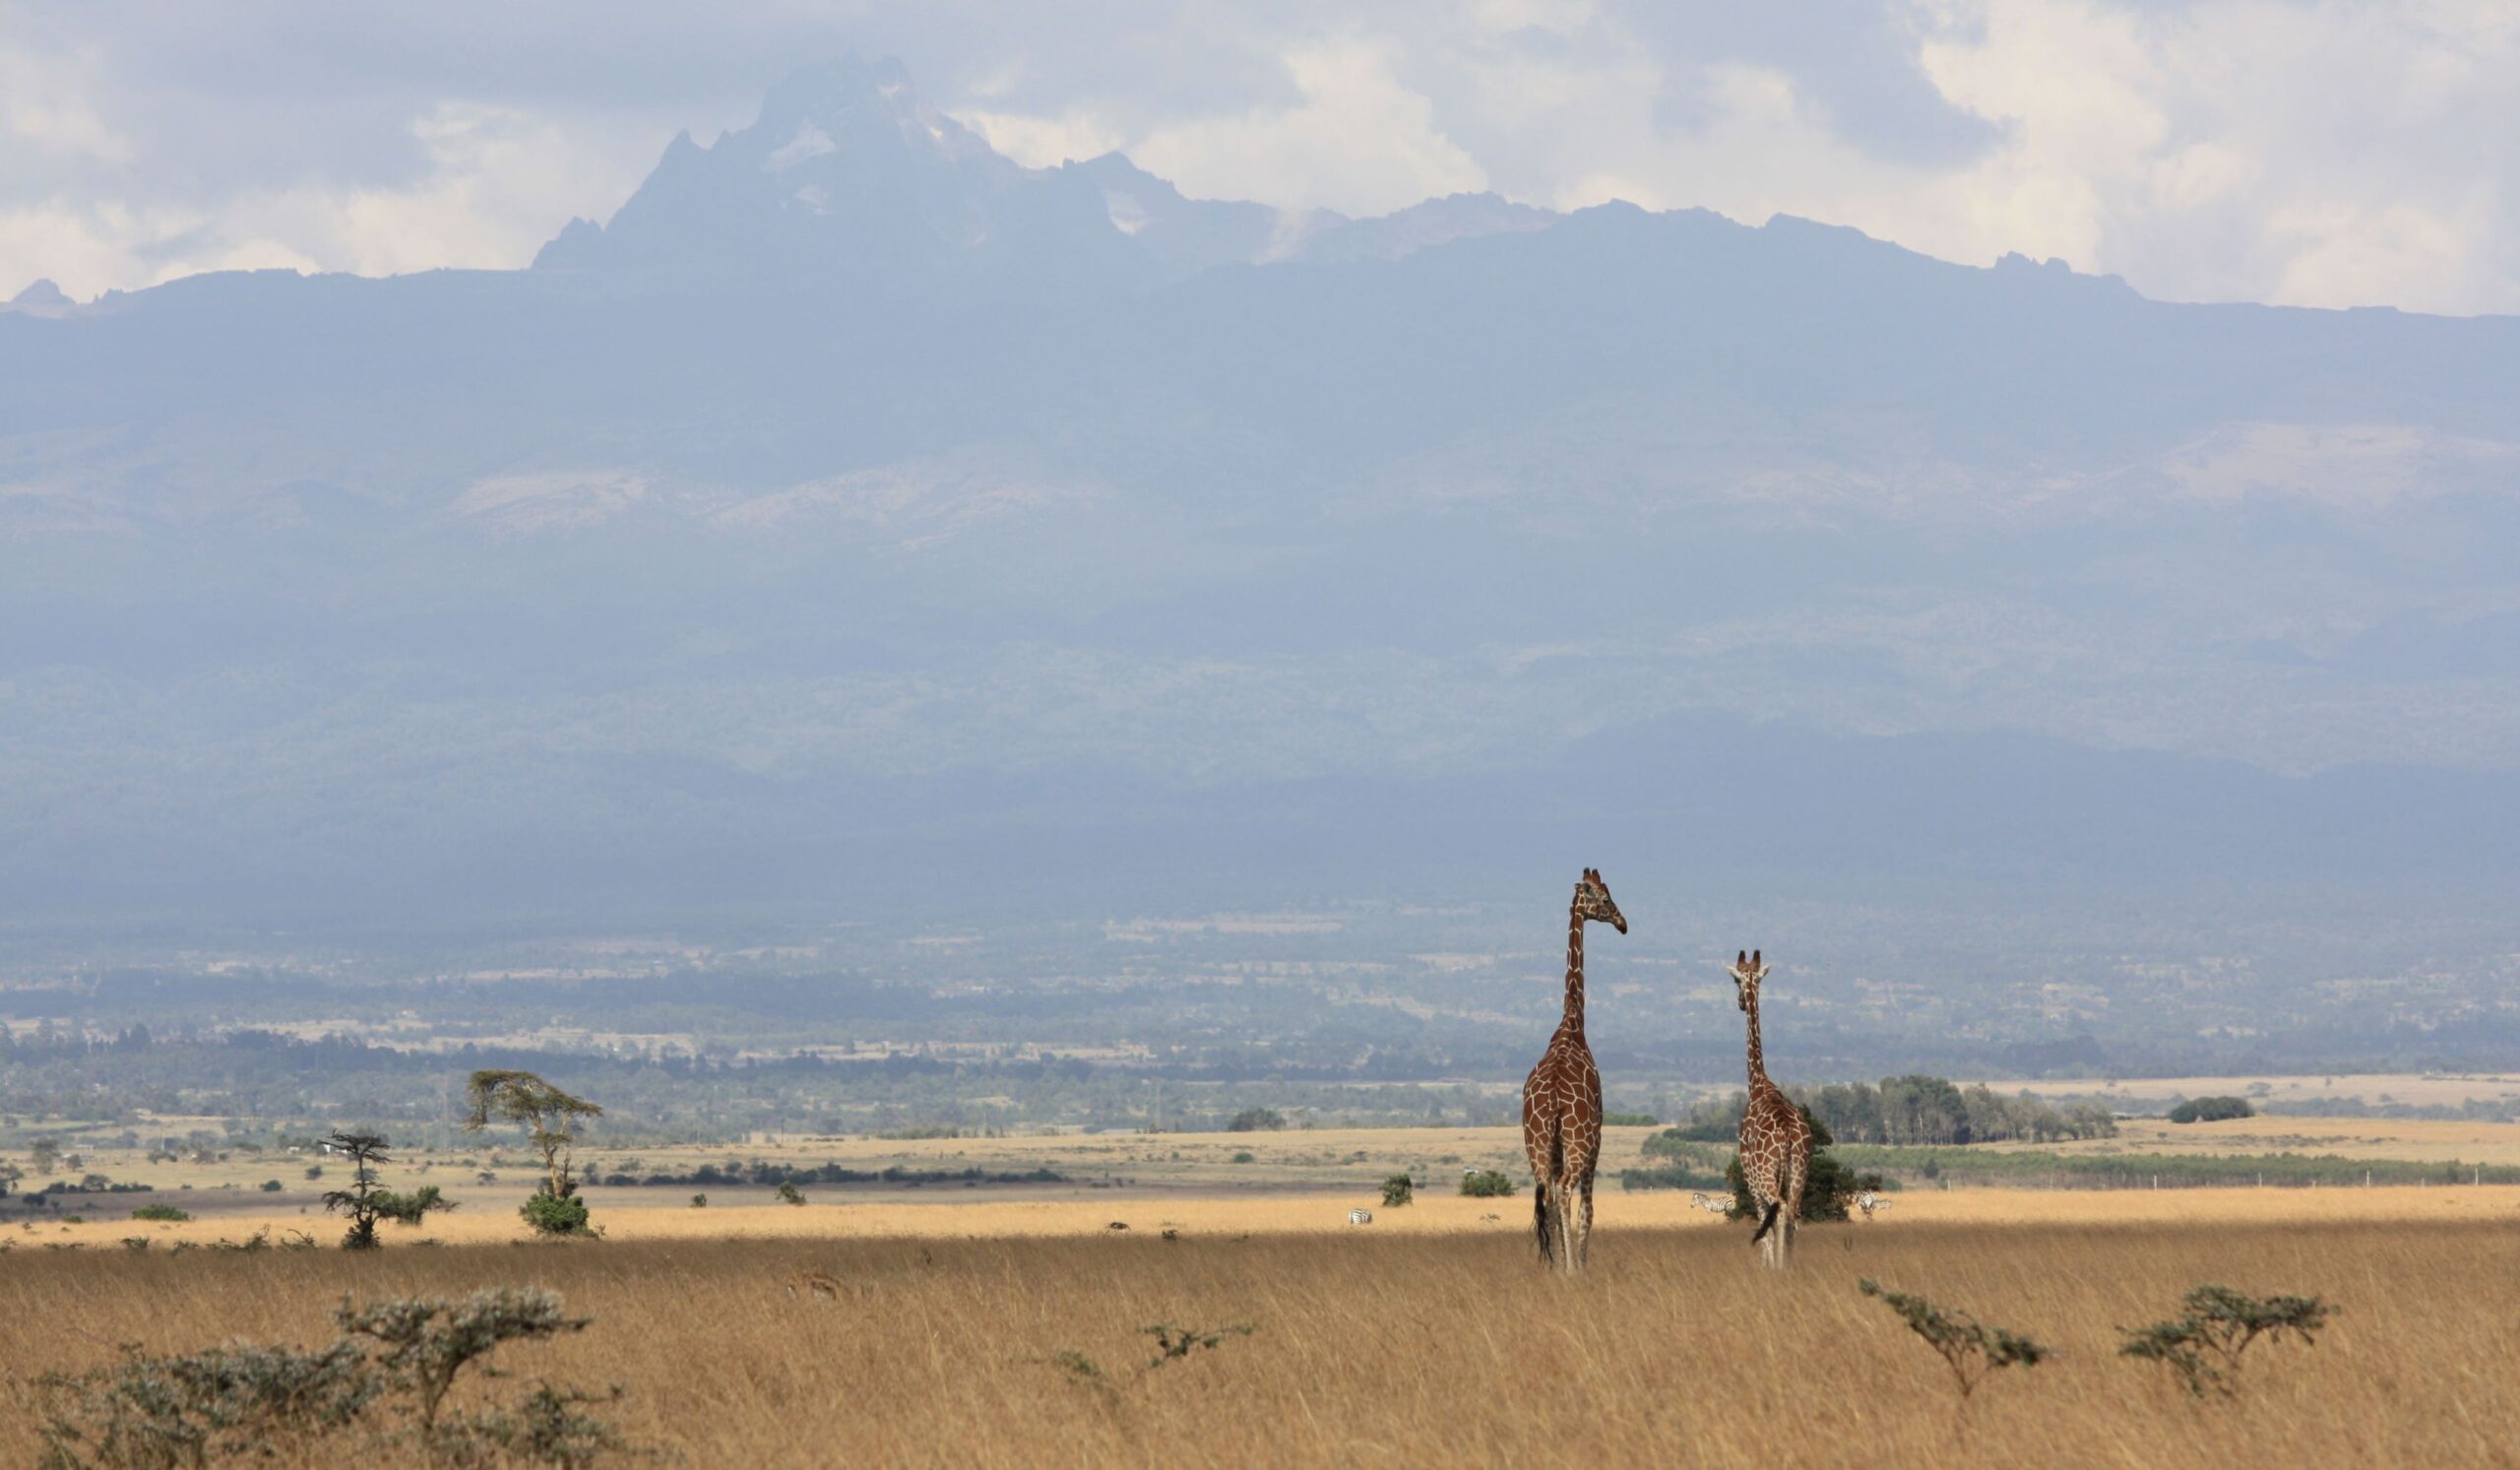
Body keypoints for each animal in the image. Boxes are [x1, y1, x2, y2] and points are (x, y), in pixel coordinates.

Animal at [1733, 947, 1814, 1270]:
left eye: (1735, 981)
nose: (1741, 1003)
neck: (1757, 1083)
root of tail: (1789, 1135)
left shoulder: (1749, 1175)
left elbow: (1762, 1224)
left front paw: (1766, 1266)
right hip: (1800, 1170)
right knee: (1792, 1212)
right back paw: (1788, 1266)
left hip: (1767, 1175)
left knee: (1779, 1210)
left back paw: (1779, 1267)